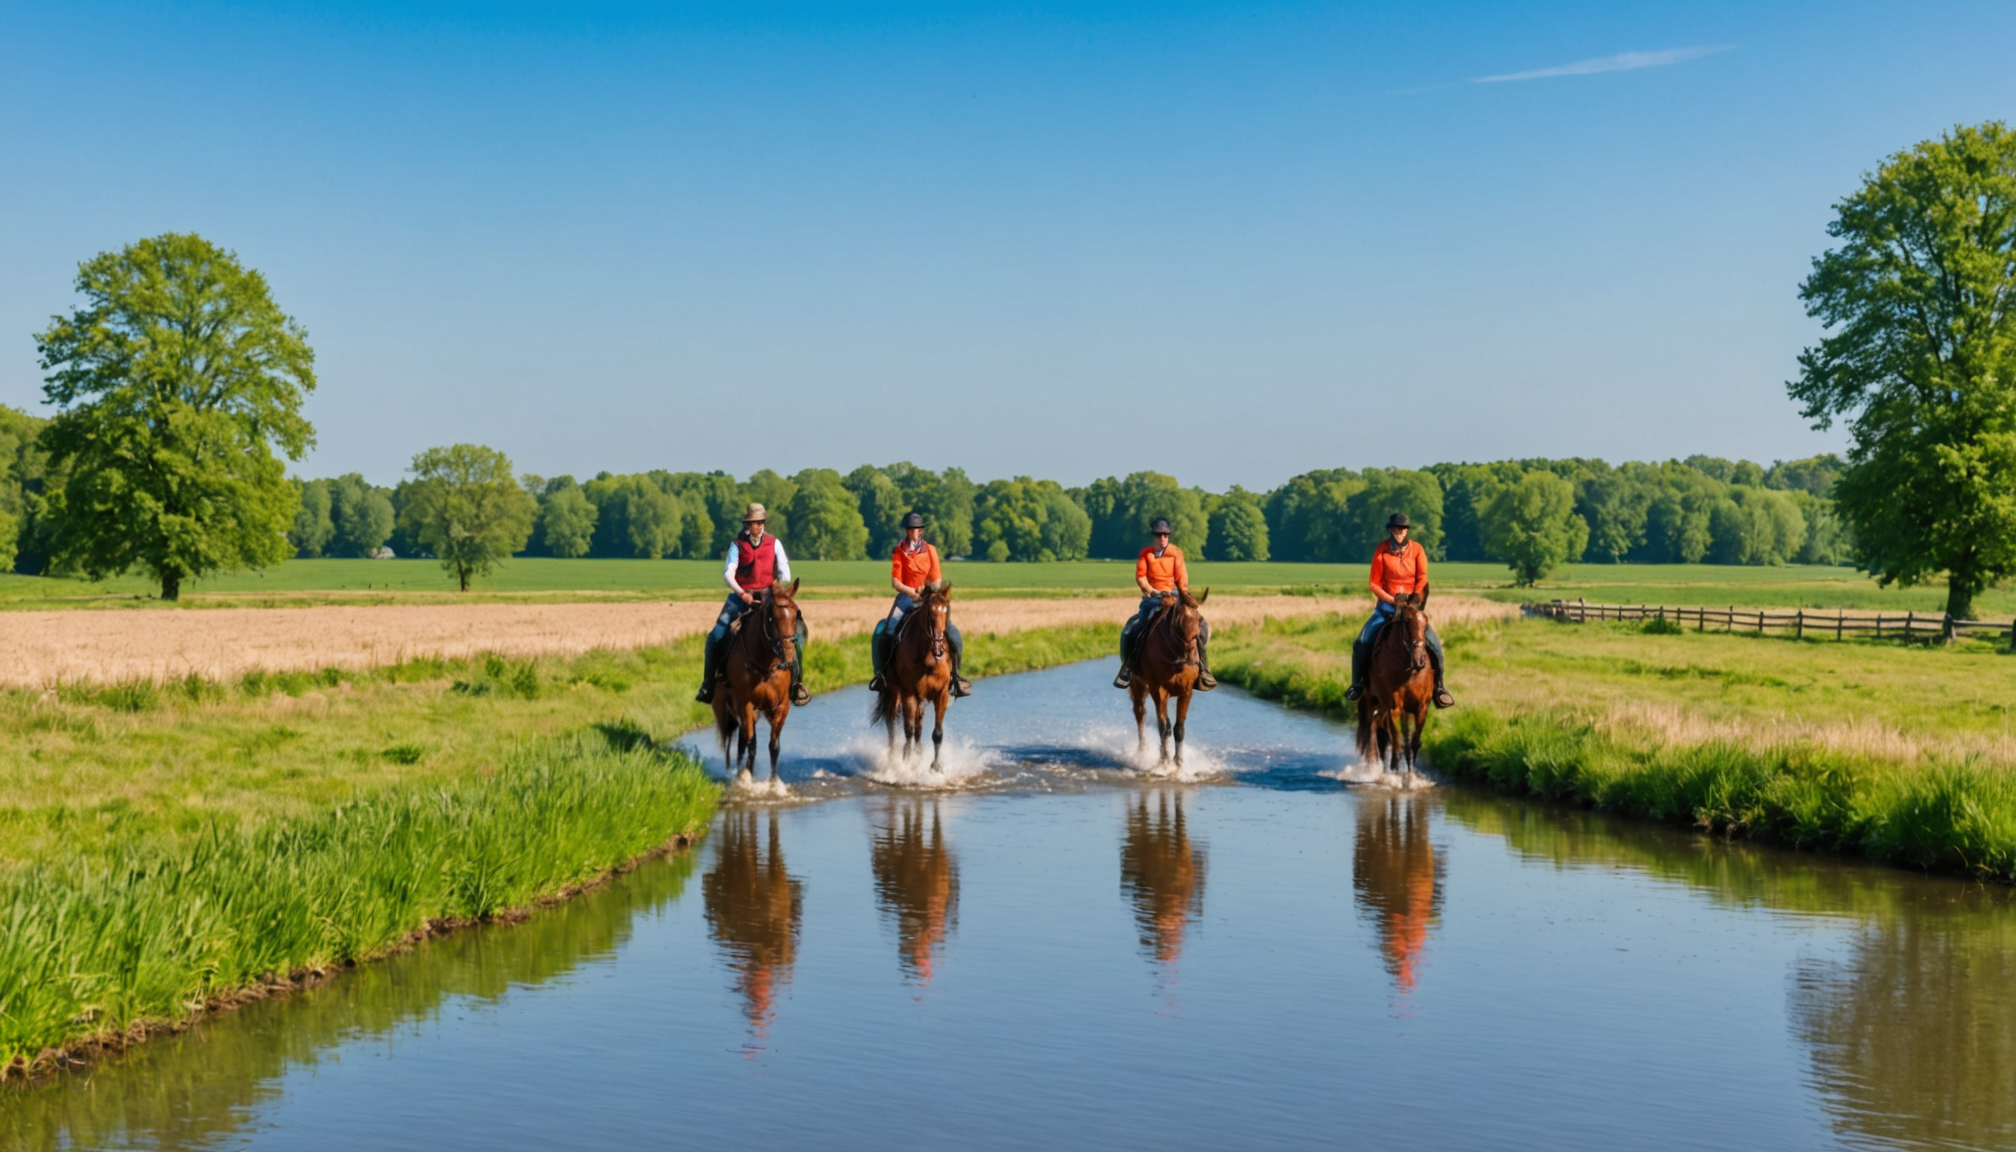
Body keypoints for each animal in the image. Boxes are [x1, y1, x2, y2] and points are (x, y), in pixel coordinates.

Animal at [712, 578, 804, 787]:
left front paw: (774, 782)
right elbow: (751, 744)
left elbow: (774, 746)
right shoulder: (746, 704)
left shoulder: (781, 705)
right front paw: (747, 778)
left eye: (796, 614)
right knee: (743, 742)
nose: (788, 657)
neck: (764, 666)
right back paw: (741, 772)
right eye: (771, 618)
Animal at [870, 581, 956, 770]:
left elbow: (936, 732)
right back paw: (893, 756)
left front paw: (935, 766)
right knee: (892, 722)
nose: (939, 648)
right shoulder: (908, 692)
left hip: (920, 697)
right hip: (894, 690)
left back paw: (918, 753)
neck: (928, 657)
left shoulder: (941, 694)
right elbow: (908, 728)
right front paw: (907, 761)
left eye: (946, 610)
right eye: (929, 612)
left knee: (919, 726)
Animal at [1130, 588, 1209, 767]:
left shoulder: (1186, 692)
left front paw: (1178, 762)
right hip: (1137, 684)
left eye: (1200, 619)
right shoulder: (1158, 692)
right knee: (1140, 715)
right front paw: (1164, 760)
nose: (1192, 659)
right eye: (1177, 623)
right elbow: (1163, 727)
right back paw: (1142, 750)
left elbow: (1179, 728)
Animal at [1355, 586, 1436, 785]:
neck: (1408, 672)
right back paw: (1382, 771)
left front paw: (1411, 776)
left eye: (1426, 621)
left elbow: (1413, 742)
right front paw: (1396, 774)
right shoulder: (1394, 708)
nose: (1419, 659)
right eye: (1407, 621)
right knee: (1380, 734)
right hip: (1374, 703)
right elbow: (1397, 740)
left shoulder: (1421, 708)